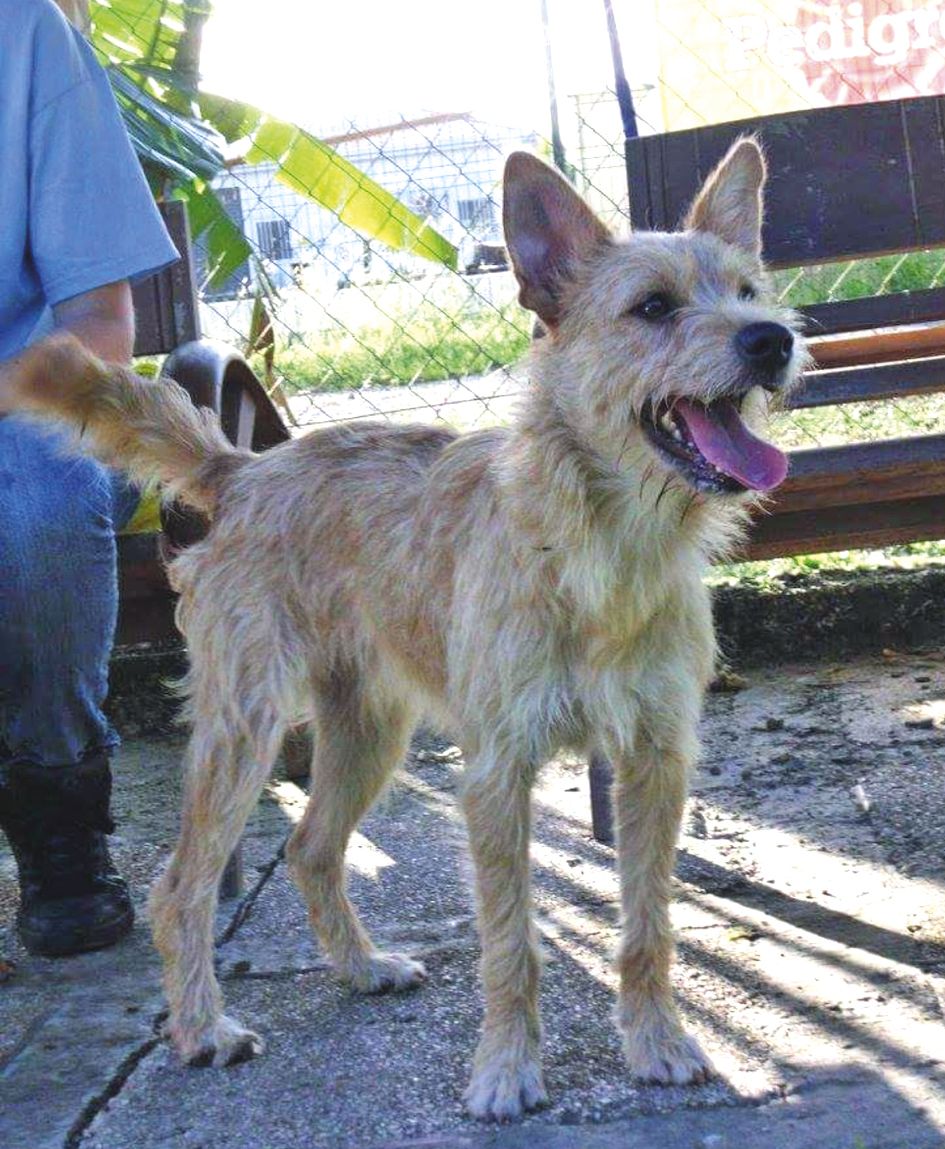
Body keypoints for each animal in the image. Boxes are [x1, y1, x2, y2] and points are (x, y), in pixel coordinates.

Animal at [3, 136, 809, 1121]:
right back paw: (201, 1026)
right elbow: (511, 941)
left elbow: (646, 924)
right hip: (242, 731)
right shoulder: (496, 773)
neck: (600, 546)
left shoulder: (656, 762)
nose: (771, 338)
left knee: (310, 848)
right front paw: (505, 1068)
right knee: (182, 886)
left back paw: (359, 967)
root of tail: (244, 469)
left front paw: (656, 1040)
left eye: (748, 289)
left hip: (367, 731)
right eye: (652, 306)